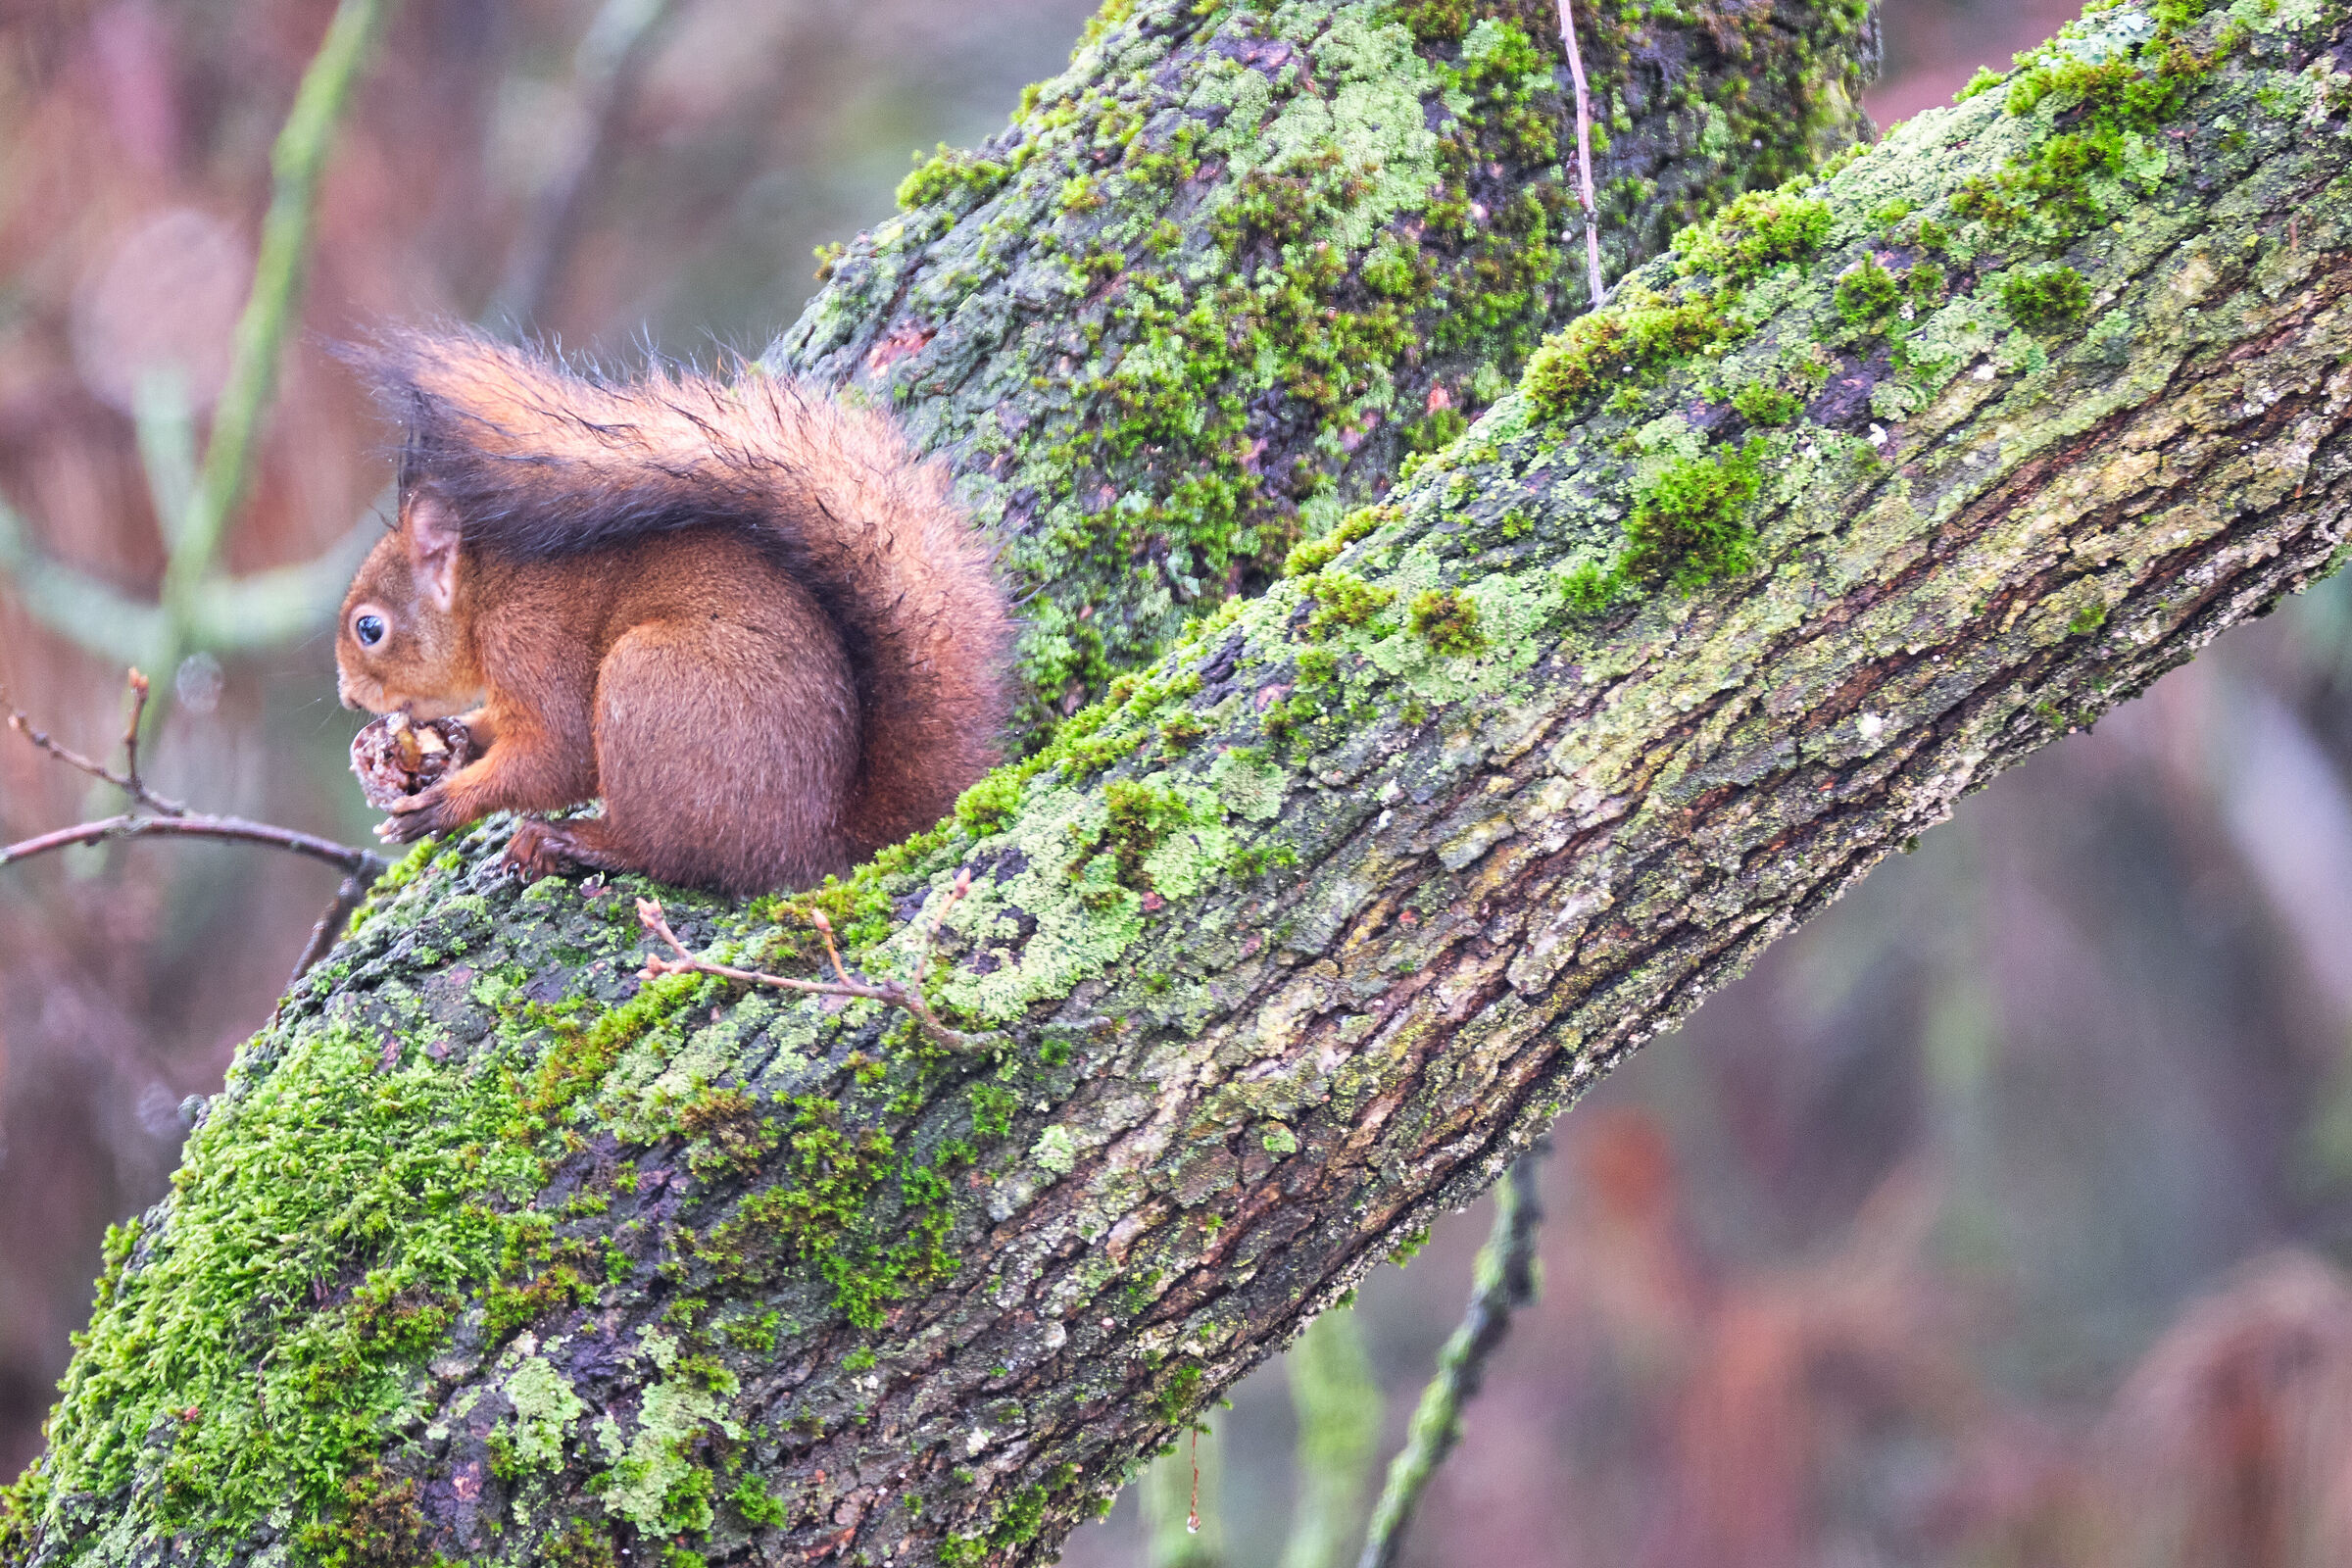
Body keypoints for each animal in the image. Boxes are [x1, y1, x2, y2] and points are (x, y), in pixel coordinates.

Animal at [333, 328, 1013, 896]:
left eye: (370, 628)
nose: (346, 696)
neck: (487, 595)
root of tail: (820, 840)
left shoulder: (528, 641)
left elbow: (560, 755)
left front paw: (443, 804)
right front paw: (450, 741)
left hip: (652, 679)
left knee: (671, 854)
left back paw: (572, 840)